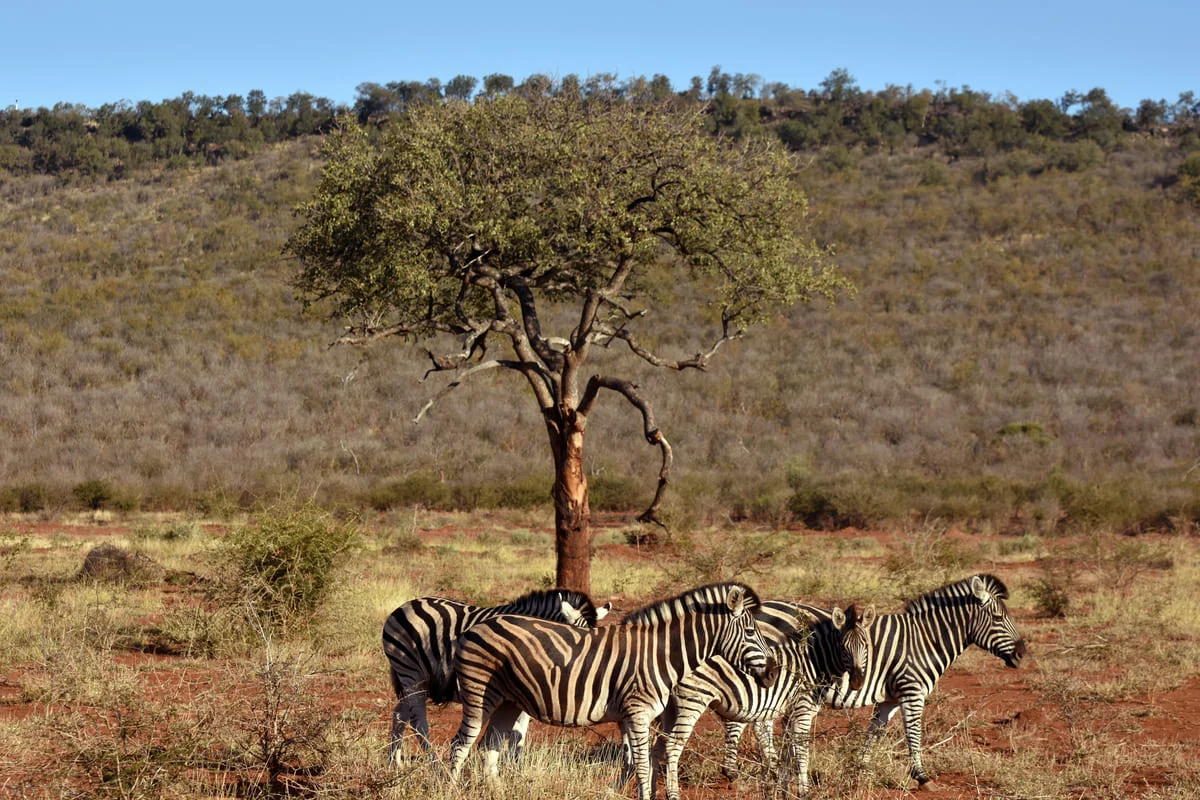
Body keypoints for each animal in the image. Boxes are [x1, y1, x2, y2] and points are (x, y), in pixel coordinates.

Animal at [381, 588, 610, 762]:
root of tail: (405, 606)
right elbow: (515, 733)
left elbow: (519, 735)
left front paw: (515, 770)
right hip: (411, 673)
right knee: (418, 720)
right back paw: (434, 765)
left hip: (411, 680)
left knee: (400, 714)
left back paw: (394, 762)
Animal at [447, 582, 777, 800]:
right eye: (751, 632)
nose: (773, 673)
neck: (660, 654)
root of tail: (475, 627)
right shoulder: (637, 713)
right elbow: (642, 765)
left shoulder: (632, 716)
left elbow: (640, 762)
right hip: (480, 693)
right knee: (461, 744)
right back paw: (451, 790)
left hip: (509, 701)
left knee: (489, 745)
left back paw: (498, 791)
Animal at [655, 601, 875, 800]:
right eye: (843, 647)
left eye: (866, 646)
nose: (857, 682)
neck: (813, 661)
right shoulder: (802, 709)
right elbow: (801, 753)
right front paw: (803, 792)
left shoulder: (788, 713)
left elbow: (787, 754)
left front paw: (782, 790)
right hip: (692, 701)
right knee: (673, 746)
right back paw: (672, 794)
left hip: (671, 707)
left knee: (657, 747)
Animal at [728, 573, 1027, 791]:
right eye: (999, 618)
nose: (1022, 653)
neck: (925, 640)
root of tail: (757, 610)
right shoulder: (912, 691)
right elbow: (913, 733)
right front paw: (922, 777)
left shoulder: (889, 700)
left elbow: (874, 734)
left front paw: (859, 772)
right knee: (751, 720)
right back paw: (744, 770)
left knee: (761, 723)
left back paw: (771, 768)